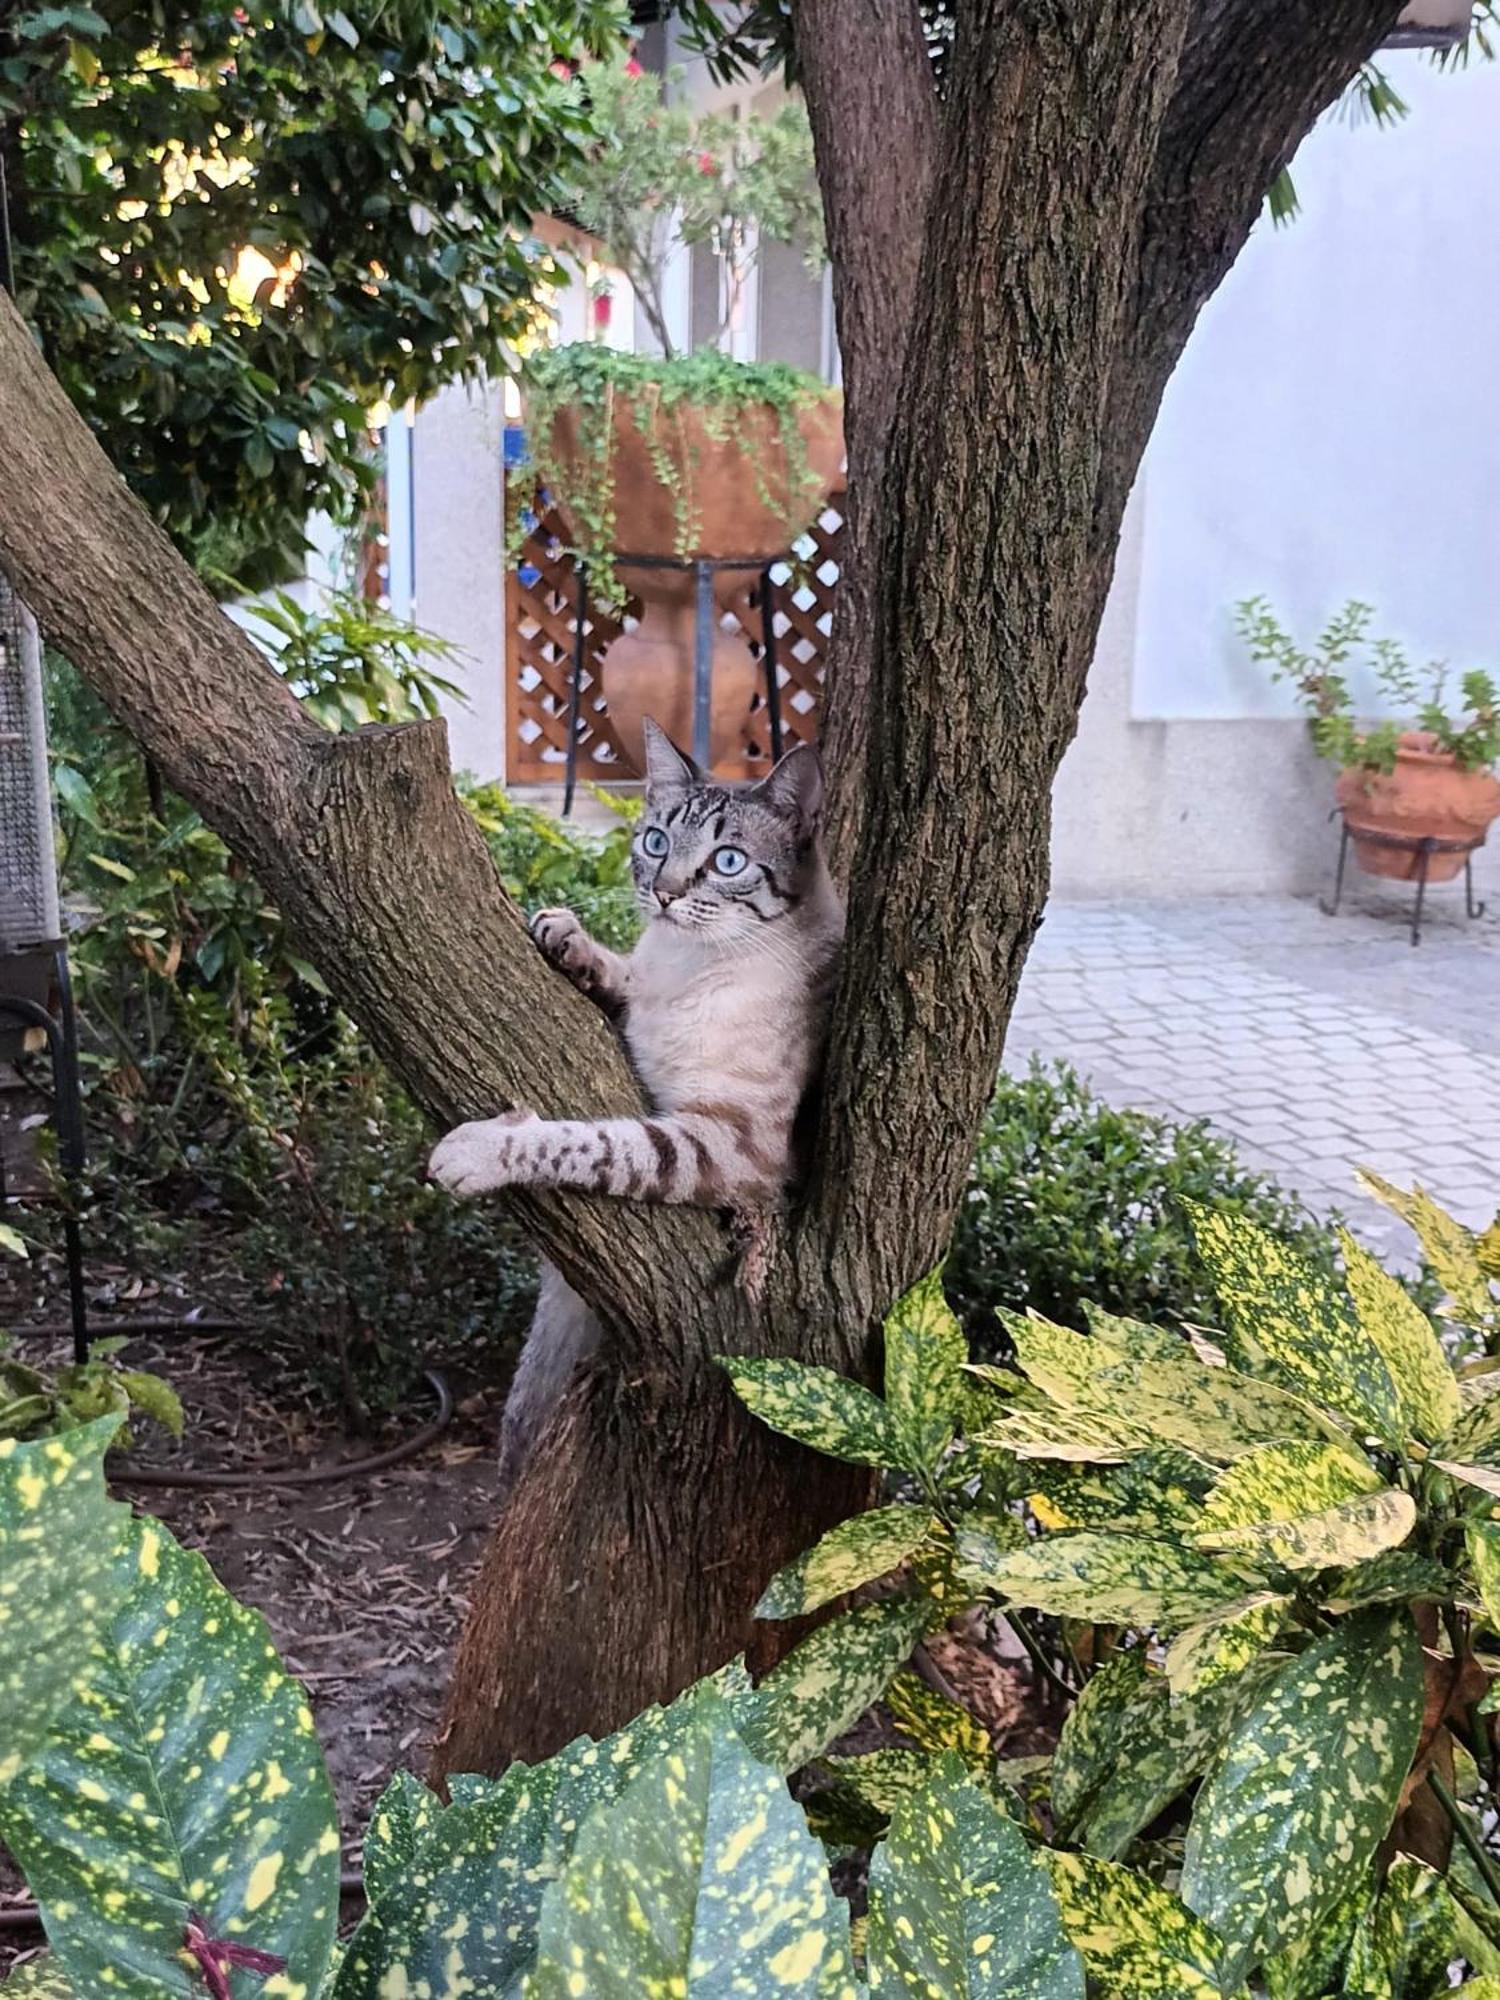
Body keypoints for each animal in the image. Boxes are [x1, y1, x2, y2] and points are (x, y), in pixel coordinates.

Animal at [432, 716, 848, 1488]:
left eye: (727, 860)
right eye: (655, 841)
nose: (663, 891)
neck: (689, 966)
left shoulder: (731, 1146)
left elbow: (592, 1142)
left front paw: (477, 1150)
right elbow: (619, 978)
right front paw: (566, 937)